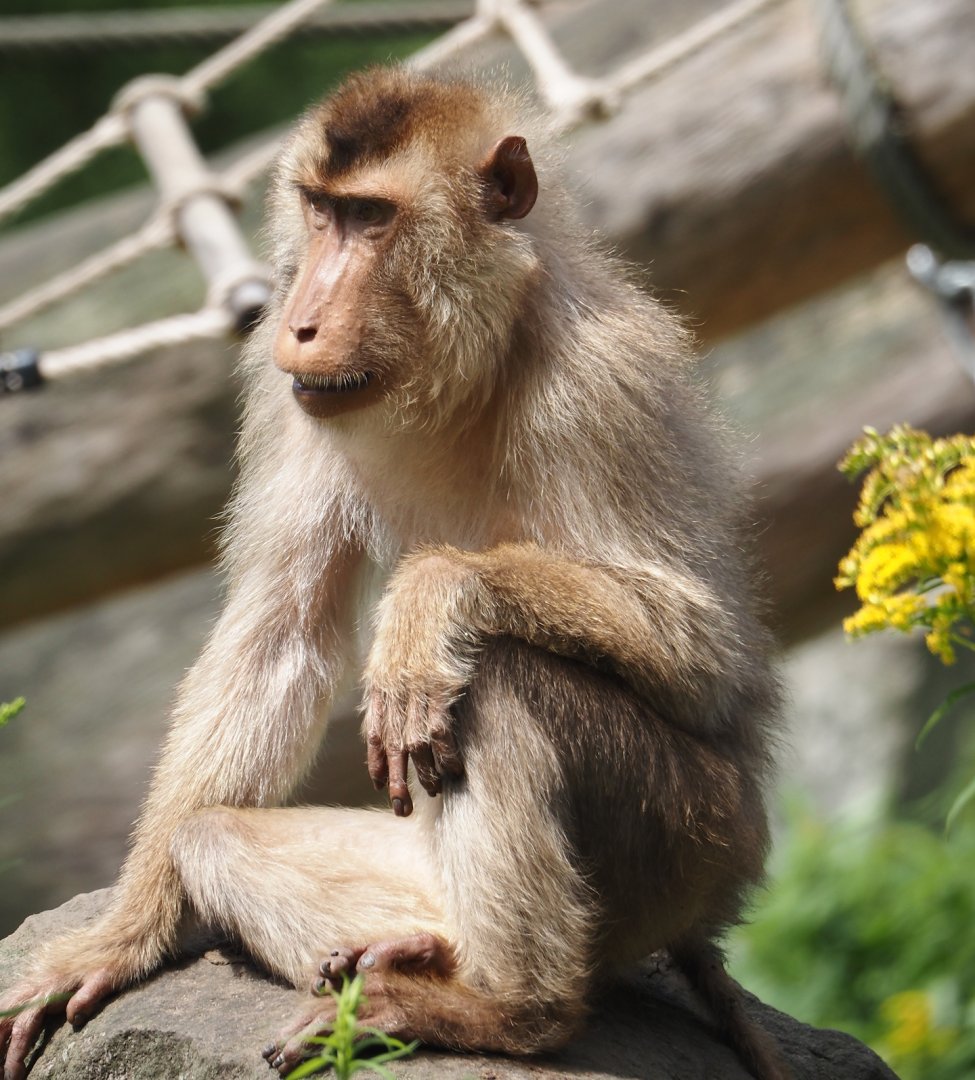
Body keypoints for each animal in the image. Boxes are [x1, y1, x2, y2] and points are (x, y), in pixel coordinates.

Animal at [0, 67, 787, 1080]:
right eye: (321, 211)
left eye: (372, 219)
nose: (301, 320)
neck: (463, 361)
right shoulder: (286, 395)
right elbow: (277, 638)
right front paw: (125, 934)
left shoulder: (601, 378)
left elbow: (708, 652)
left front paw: (430, 595)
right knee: (211, 834)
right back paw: (416, 953)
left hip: (696, 841)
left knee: (498, 675)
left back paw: (510, 1011)